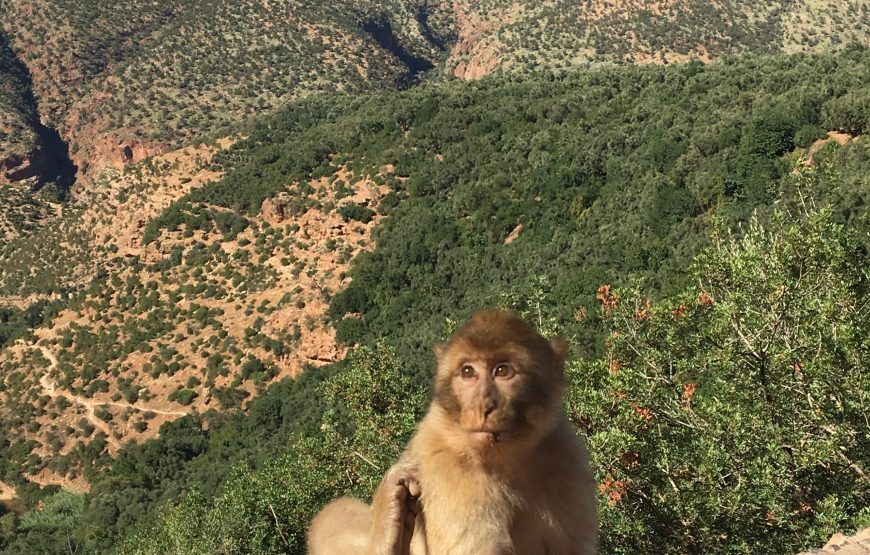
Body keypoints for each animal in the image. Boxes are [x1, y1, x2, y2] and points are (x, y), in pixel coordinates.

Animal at [308, 310, 600, 555]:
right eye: (468, 372)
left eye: (503, 370)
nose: (483, 406)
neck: (505, 458)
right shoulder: (449, 472)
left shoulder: (564, 457)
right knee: (334, 511)